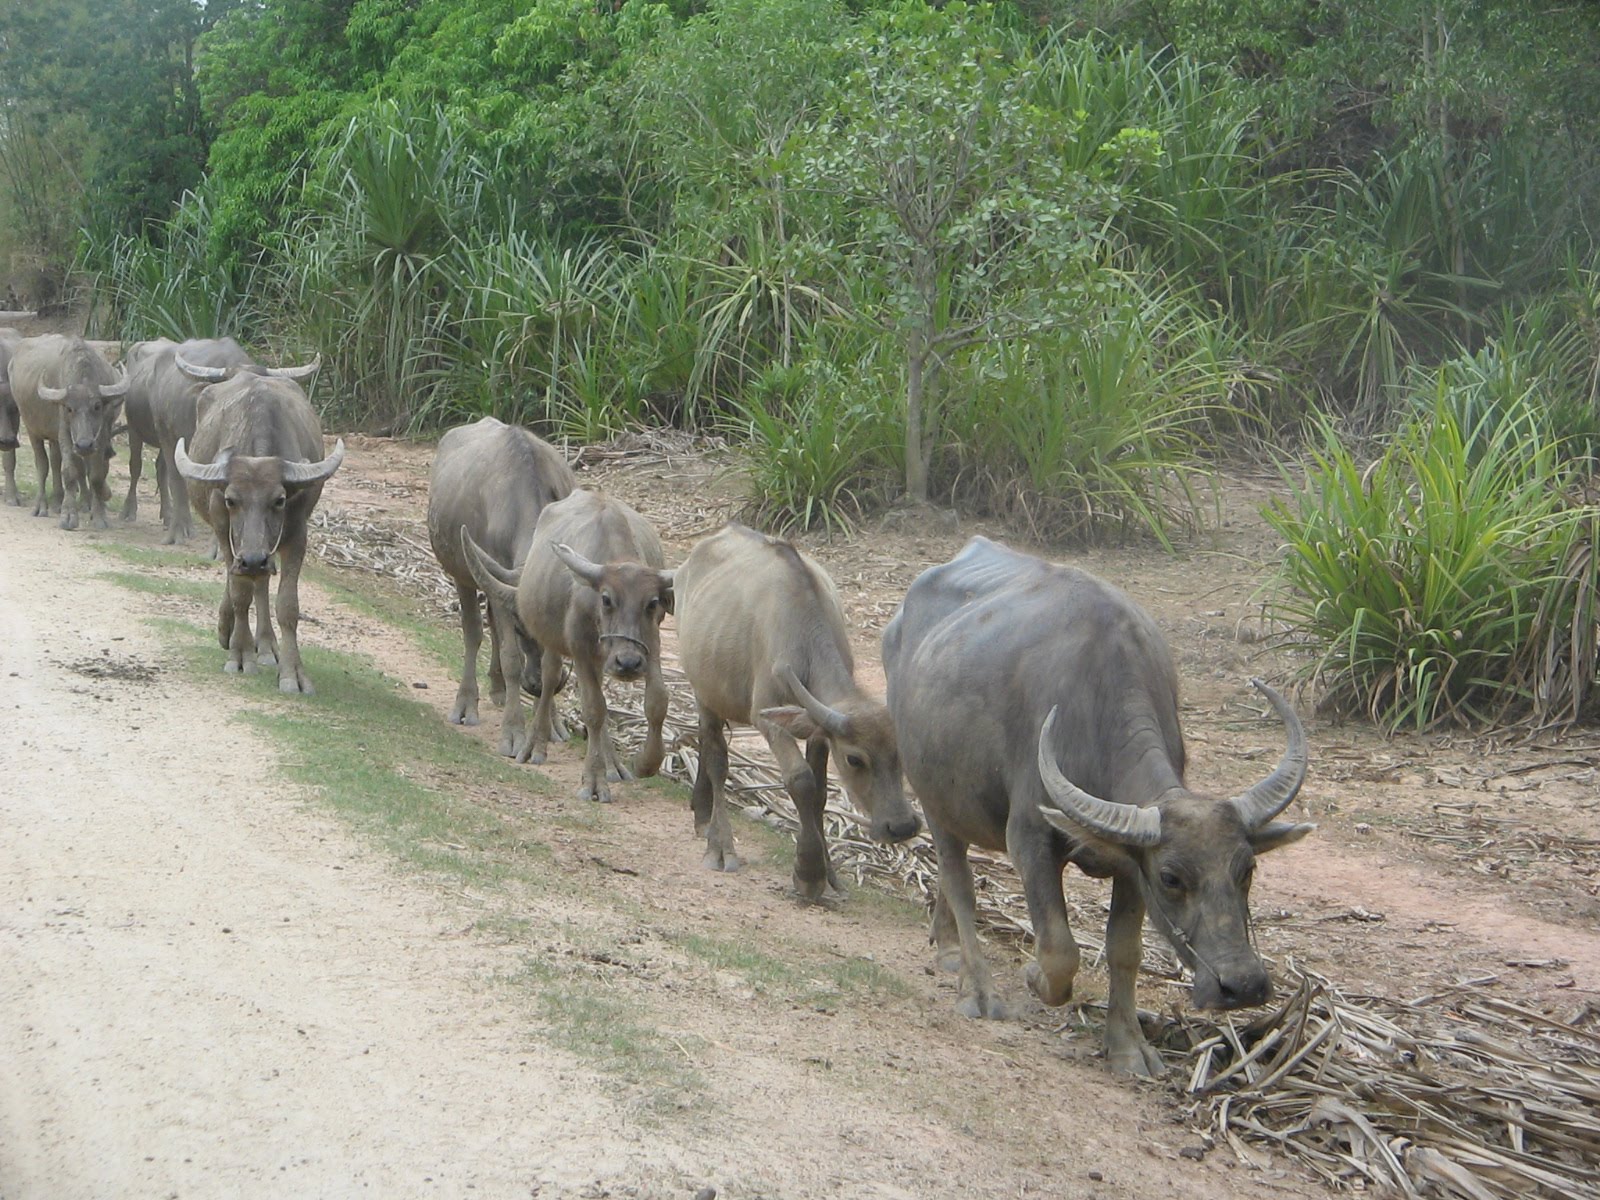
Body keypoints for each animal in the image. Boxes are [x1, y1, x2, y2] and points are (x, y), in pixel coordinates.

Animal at [883, 536, 1313, 1076]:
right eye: (1172, 878)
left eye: (1247, 870)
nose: (1242, 986)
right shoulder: (1030, 841)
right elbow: (1058, 950)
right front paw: (1031, 977)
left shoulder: (1131, 866)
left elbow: (1124, 950)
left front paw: (1128, 1046)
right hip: (935, 800)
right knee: (959, 882)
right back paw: (976, 988)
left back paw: (946, 949)